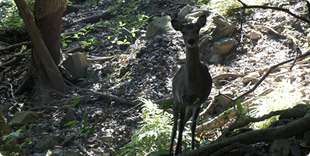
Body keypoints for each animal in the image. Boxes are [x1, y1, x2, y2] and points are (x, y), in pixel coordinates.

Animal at [167, 14, 213, 155]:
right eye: (183, 32)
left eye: (197, 30)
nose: (191, 41)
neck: (192, 86)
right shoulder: (182, 99)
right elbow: (180, 127)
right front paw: (178, 151)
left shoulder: (199, 99)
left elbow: (193, 126)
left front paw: (192, 149)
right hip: (175, 100)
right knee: (175, 126)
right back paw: (171, 151)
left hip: (189, 105)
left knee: (183, 123)